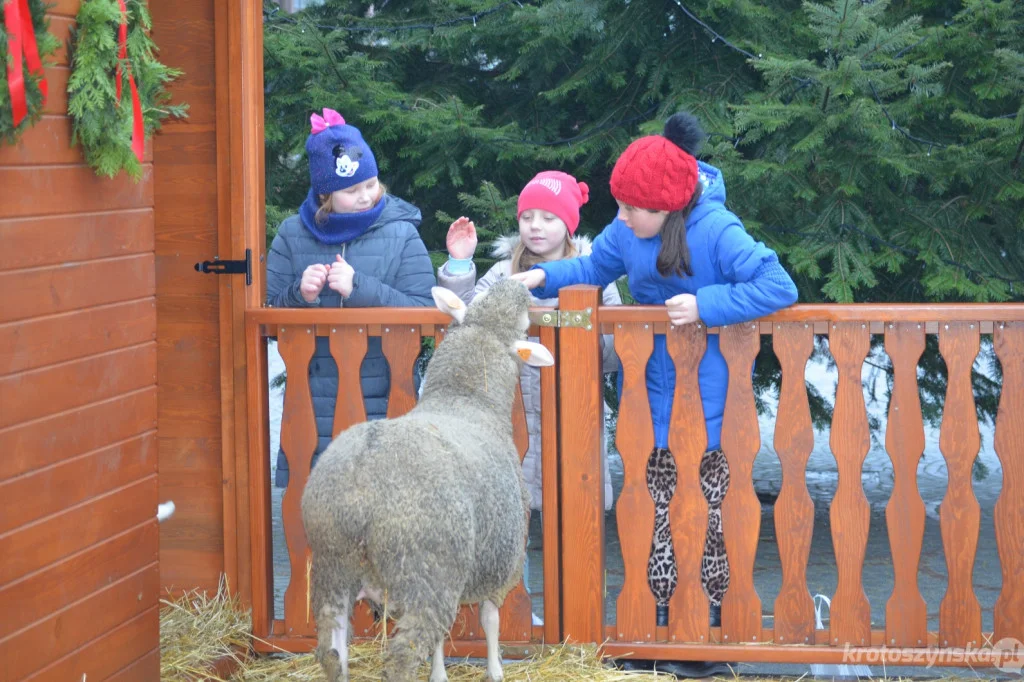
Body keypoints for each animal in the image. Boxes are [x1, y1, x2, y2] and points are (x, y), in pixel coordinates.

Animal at [299, 278, 552, 679]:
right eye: (525, 326)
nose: (513, 283)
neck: (464, 398)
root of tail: (362, 484)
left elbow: (445, 639)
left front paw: (439, 673)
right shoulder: (502, 564)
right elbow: (490, 620)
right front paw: (495, 669)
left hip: (332, 563)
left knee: (332, 648)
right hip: (426, 571)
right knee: (405, 652)